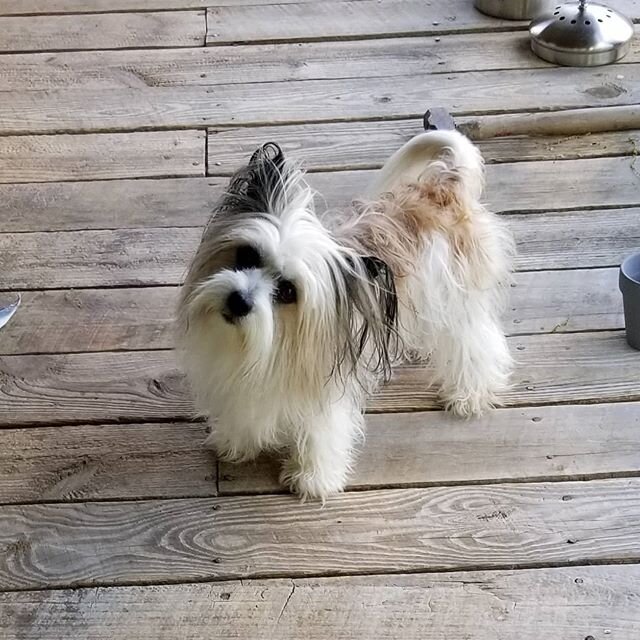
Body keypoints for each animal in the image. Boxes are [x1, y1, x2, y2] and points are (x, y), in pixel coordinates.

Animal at [176, 130, 516, 500]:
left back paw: (471, 394)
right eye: (247, 255)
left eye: (288, 291)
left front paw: (313, 478)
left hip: (458, 300)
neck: (267, 341)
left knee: (478, 342)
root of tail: (443, 186)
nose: (239, 300)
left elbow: (321, 433)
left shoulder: (325, 391)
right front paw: (236, 442)